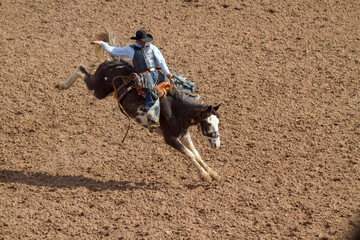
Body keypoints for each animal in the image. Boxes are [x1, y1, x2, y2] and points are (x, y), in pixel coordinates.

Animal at [54, 31, 221, 182]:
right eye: (208, 123)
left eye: (218, 123)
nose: (217, 145)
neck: (176, 110)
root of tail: (114, 61)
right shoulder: (170, 138)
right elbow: (190, 154)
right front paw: (204, 175)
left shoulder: (184, 134)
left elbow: (196, 153)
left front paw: (213, 173)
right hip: (97, 89)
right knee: (81, 69)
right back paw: (61, 85)